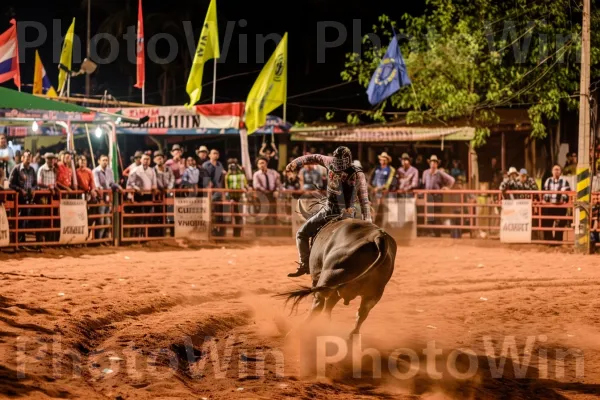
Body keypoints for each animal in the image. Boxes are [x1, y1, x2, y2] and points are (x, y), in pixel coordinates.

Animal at [278, 198, 398, 336]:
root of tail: (377, 237)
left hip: (328, 279)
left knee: (319, 303)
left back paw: (296, 331)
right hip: (373, 293)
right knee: (361, 313)